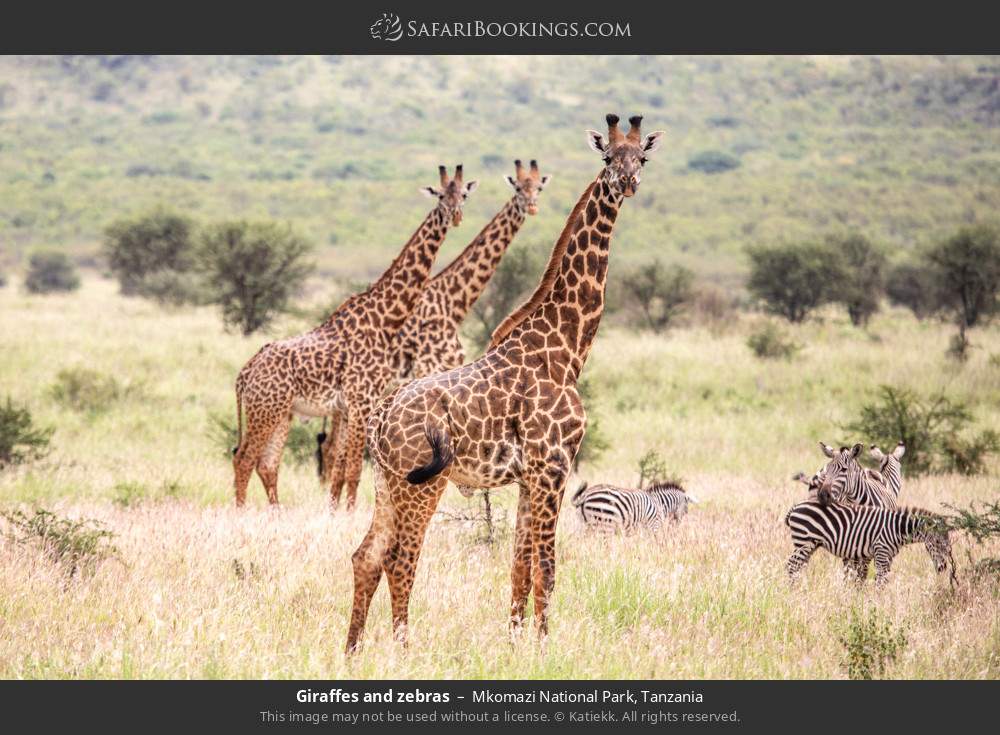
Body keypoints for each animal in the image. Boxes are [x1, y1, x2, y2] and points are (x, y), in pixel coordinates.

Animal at [232, 165, 477, 509]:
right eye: (441, 195)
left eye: (463, 196)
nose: (455, 216)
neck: (385, 319)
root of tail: (244, 374)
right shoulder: (361, 401)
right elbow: (353, 470)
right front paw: (347, 512)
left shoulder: (354, 406)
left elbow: (343, 467)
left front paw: (339, 511)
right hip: (265, 411)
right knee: (243, 458)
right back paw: (240, 512)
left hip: (279, 413)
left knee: (265, 463)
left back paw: (274, 513)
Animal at [784, 500, 956, 586]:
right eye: (937, 542)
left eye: (948, 543)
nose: (943, 568)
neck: (896, 529)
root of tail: (795, 507)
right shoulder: (881, 551)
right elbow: (880, 579)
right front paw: (878, 602)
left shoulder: (889, 556)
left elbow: (885, 578)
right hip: (803, 542)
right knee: (791, 565)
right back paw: (793, 591)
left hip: (811, 545)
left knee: (798, 567)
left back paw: (801, 588)